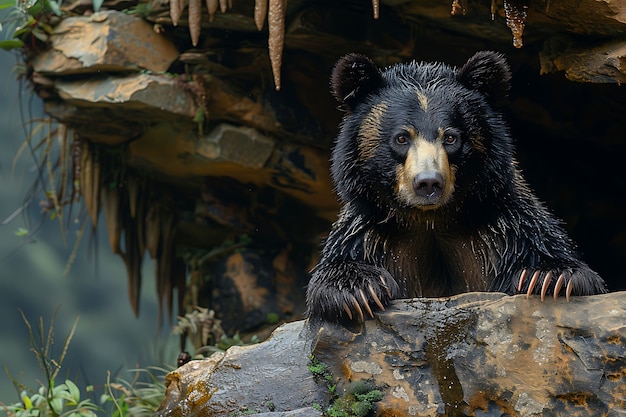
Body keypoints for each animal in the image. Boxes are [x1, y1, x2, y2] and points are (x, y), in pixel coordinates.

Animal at [304, 50, 608, 320]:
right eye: (402, 137)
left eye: (450, 137)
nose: (428, 183)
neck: (430, 220)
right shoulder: (371, 235)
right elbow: (341, 265)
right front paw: (359, 288)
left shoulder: (505, 231)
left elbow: (554, 256)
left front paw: (546, 277)